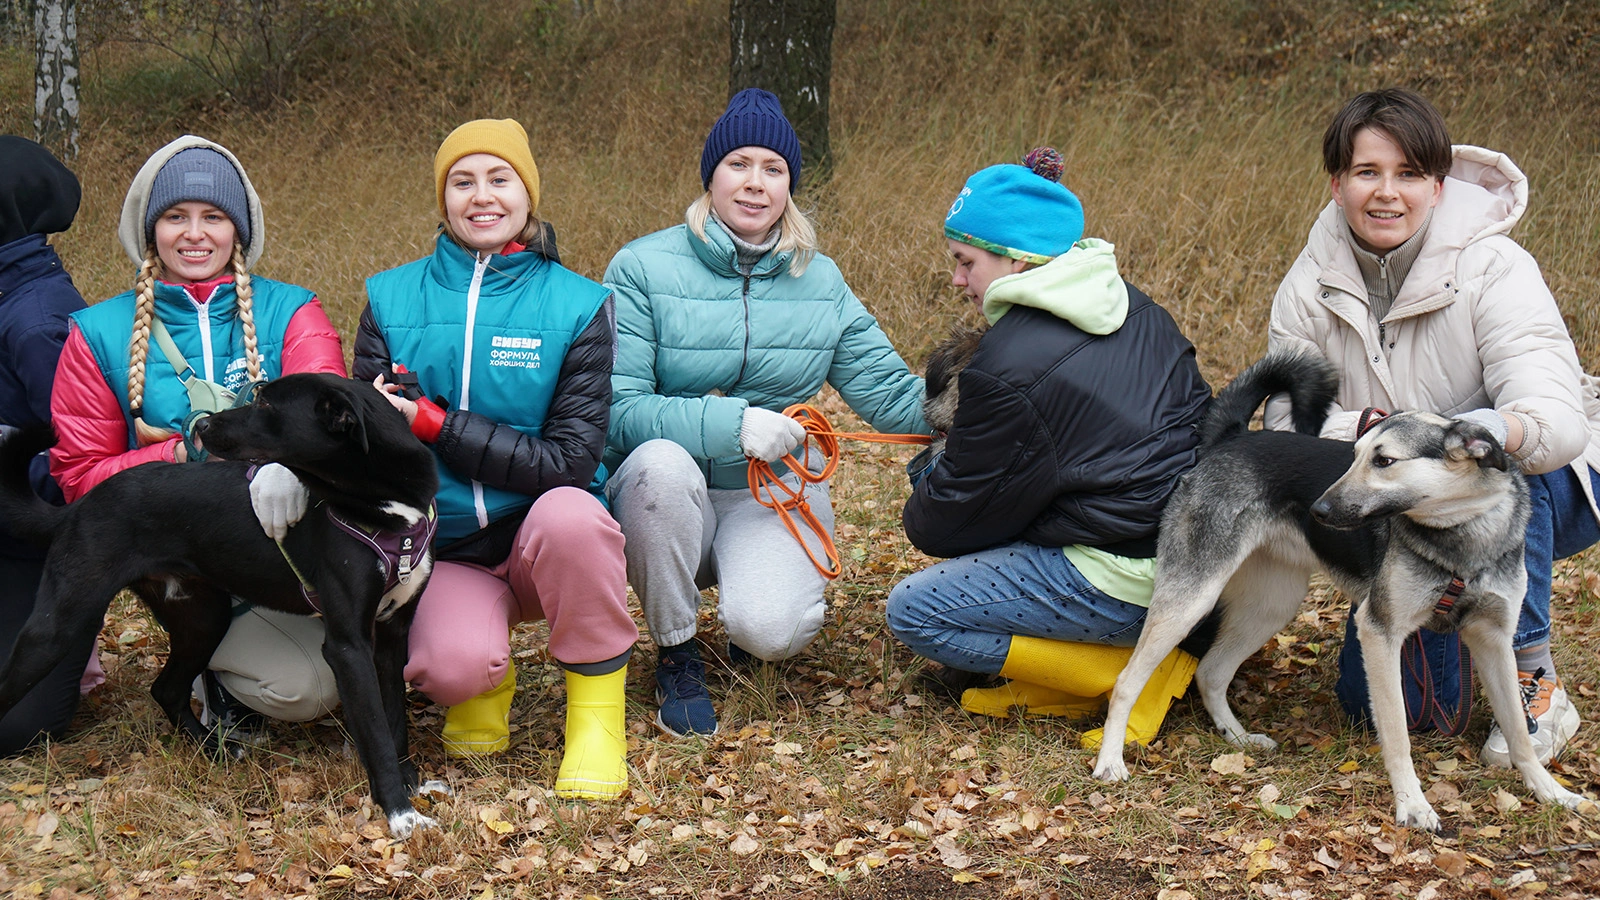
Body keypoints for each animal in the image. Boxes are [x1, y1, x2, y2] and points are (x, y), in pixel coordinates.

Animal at [0, 371, 438, 832]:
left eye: (265, 405)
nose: (203, 425)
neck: (389, 506)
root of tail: (81, 504)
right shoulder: (347, 646)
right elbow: (375, 732)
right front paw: (401, 815)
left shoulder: (391, 636)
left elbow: (394, 720)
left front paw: (409, 784)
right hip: (57, 627)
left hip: (202, 619)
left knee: (167, 689)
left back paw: (212, 749)